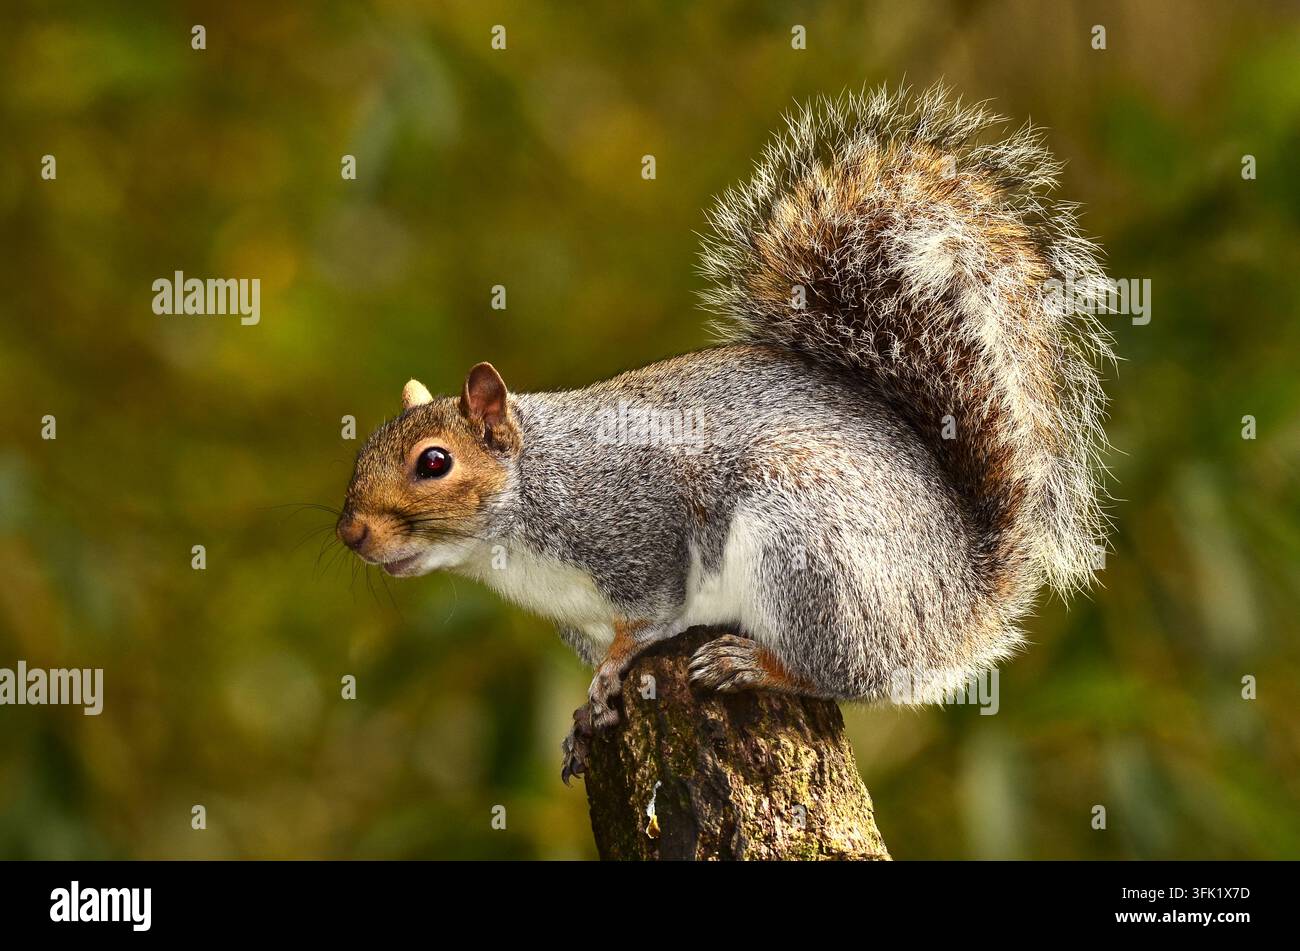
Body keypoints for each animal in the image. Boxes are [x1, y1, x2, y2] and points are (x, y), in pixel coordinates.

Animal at [336, 84, 1113, 782]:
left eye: (434, 462)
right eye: (363, 451)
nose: (351, 532)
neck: (529, 499)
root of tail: (960, 603)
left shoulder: (636, 522)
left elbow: (647, 615)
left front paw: (613, 670)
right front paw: (583, 725)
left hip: (812, 552)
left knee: (841, 672)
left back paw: (753, 662)